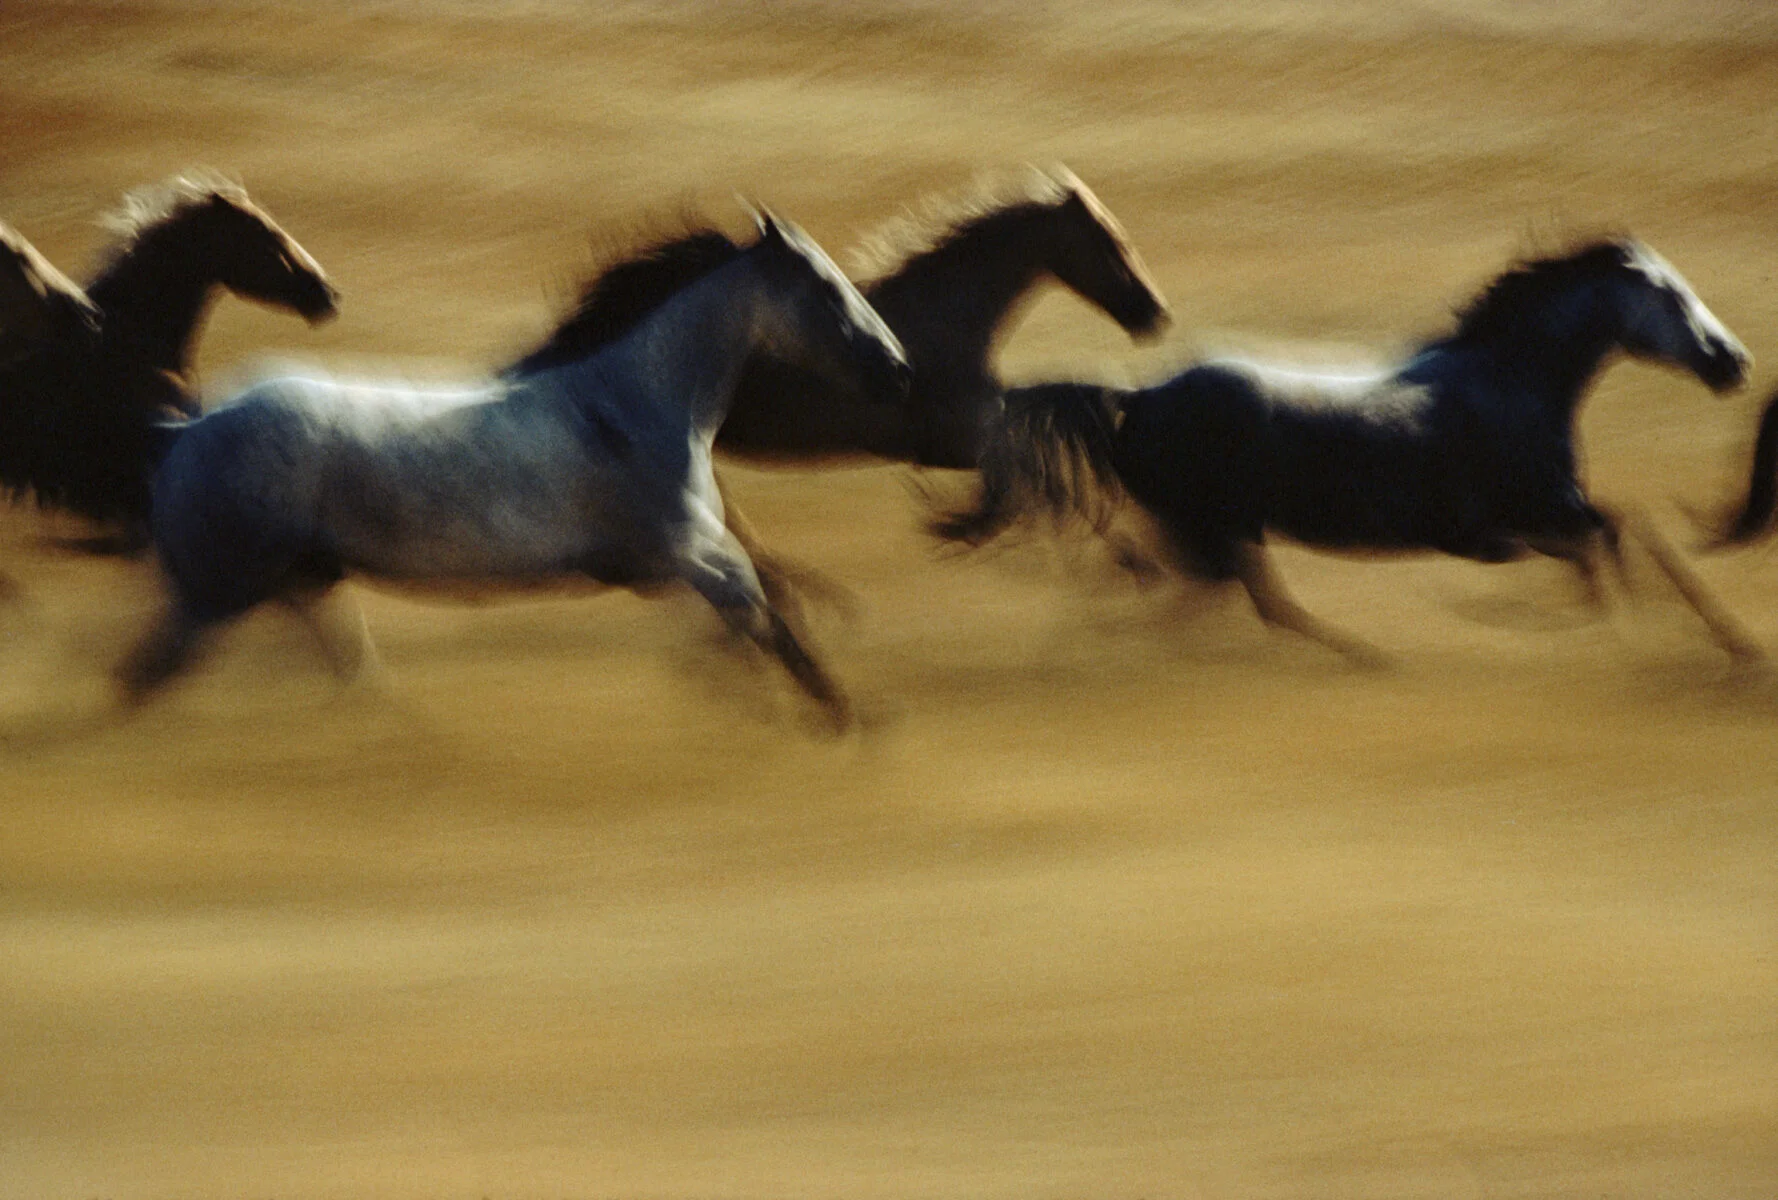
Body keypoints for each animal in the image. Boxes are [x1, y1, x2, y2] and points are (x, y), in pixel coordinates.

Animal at [120, 211, 909, 727]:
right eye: (826, 289)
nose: (896, 368)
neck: (631, 402)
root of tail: (182, 431)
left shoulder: (669, 567)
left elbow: (759, 624)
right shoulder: (694, 555)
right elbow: (773, 626)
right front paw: (848, 725)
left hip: (300, 581)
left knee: (349, 673)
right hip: (221, 589)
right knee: (146, 678)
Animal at [506, 167, 1168, 609]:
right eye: (1110, 242)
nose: (1153, 315)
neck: (944, 321)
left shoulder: (973, 431)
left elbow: (1041, 456)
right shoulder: (959, 441)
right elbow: (1036, 480)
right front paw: (1129, 565)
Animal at [937, 237, 1760, 662]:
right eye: (1672, 298)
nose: (1734, 363)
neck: (1508, 381)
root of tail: (1135, 399)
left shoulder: (1536, 526)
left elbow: (1618, 546)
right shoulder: (1536, 519)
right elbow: (1629, 538)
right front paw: (1723, 643)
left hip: (1218, 533)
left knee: (1245, 605)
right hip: (1211, 530)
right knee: (1233, 606)